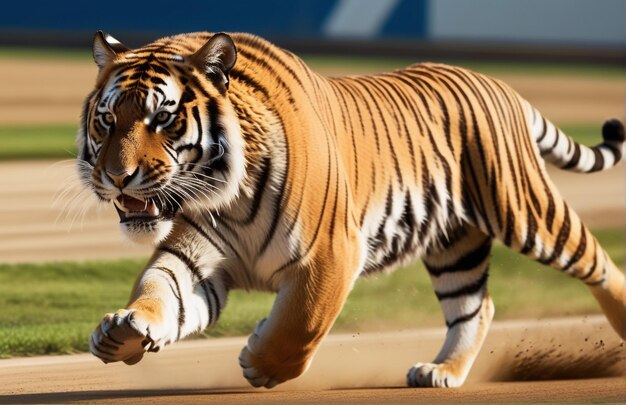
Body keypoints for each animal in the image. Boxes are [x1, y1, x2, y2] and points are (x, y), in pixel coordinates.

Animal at [81, 30, 624, 386]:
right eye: (107, 120)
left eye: (162, 119)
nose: (117, 176)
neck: (225, 193)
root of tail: (498, 83)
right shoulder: (199, 251)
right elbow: (162, 289)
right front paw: (123, 332)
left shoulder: (331, 251)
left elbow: (302, 320)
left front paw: (262, 363)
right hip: (455, 245)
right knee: (476, 304)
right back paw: (441, 371)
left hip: (526, 212)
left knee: (597, 261)